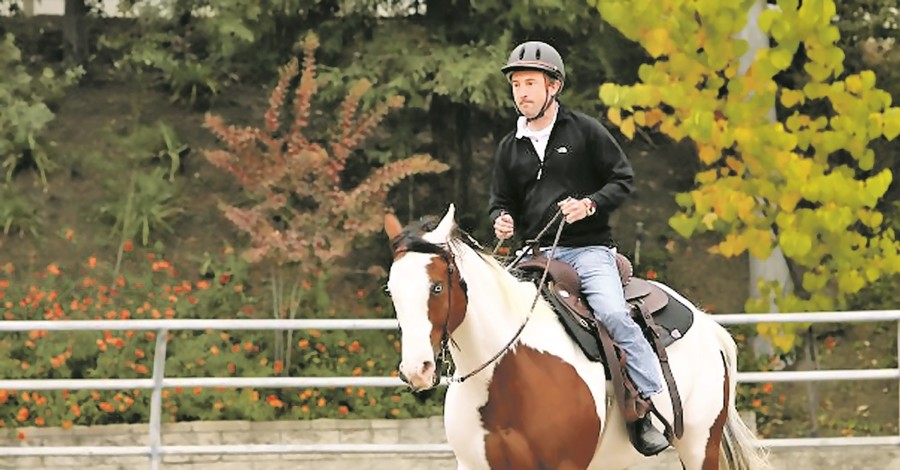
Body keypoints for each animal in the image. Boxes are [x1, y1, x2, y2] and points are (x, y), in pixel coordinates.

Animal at [384, 206, 768, 470]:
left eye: (436, 287)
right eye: (391, 290)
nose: (416, 370)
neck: (508, 377)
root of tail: (706, 325)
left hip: (700, 444)